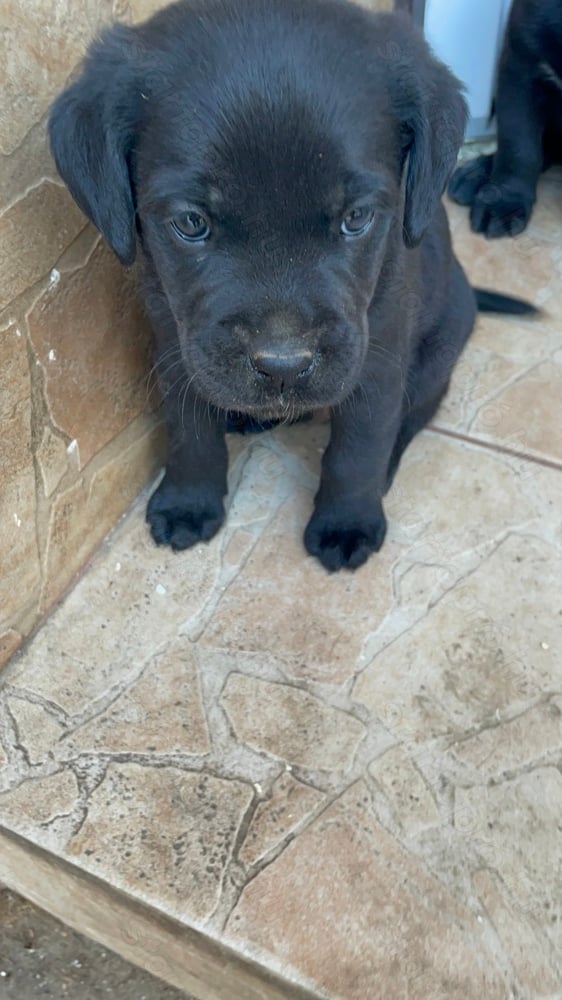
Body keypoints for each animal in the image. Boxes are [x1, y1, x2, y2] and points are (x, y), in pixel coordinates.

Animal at [50, 0, 528, 572]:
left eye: (357, 218)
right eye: (190, 223)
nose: (283, 367)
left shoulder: (379, 356)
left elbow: (358, 448)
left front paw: (347, 522)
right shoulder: (176, 342)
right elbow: (189, 429)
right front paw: (188, 500)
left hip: (438, 349)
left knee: (417, 410)